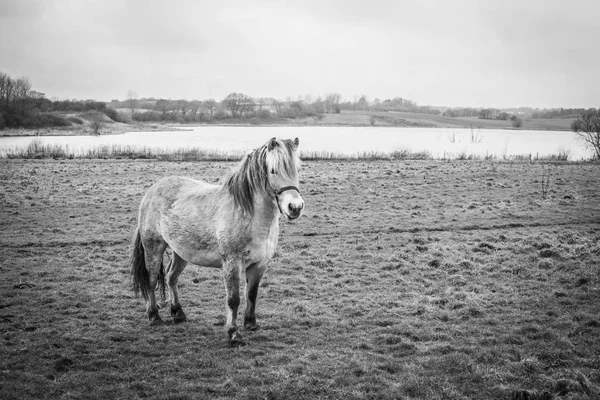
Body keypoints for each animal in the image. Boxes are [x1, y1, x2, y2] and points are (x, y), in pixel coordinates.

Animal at [128, 138, 302, 344]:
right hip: (153, 248)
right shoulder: (232, 263)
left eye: (297, 169)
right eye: (273, 170)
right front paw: (233, 333)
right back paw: (154, 316)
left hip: (181, 252)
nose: (295, 207)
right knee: (152, 280)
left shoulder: (260, 264)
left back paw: (178, 313)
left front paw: (251, 324)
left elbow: (251, 294)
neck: (248, 214)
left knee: (171, 277)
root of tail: (152, 191)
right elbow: (233, 299)